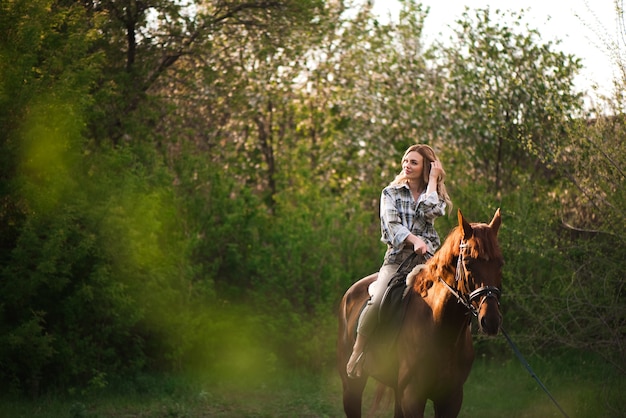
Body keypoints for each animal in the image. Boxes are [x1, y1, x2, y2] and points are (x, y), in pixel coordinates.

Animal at [336, 209, 502, 418]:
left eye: (500, 263)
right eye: (468, 263)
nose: (491, 320)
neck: (441, 329)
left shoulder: (451, 398)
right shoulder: (413, 397)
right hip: (352, 387)